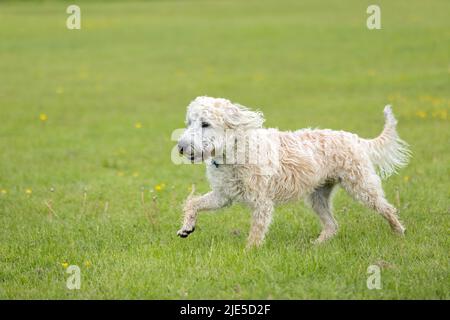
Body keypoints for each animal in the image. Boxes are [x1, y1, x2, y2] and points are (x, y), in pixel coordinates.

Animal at [177, 96, 412, 246]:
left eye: (205, 123)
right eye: (189, 122)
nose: (180, 147)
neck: (235, 149)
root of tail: (354, 138)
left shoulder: (262, 203)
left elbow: (256, 233)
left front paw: (248, 253)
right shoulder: (223, 196)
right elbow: (193, 203)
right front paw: (187, 227)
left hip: (361, 187)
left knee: (387, 208)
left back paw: (399, 232)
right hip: (317, 197)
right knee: (332, 225)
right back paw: (317, 244)